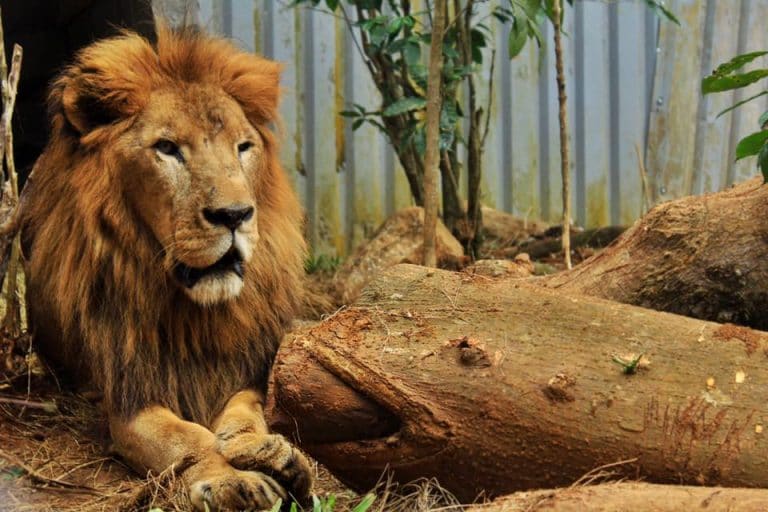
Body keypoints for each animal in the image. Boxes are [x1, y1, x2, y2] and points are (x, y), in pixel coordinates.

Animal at [20, 25, 313, 511]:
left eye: (243, 147)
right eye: (167, 149)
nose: (235, 215)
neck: (193, 311)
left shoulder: (247, 370)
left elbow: (245, 414)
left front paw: (265, 452)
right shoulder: (128, 397)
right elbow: (186, 439)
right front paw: (234, 481)